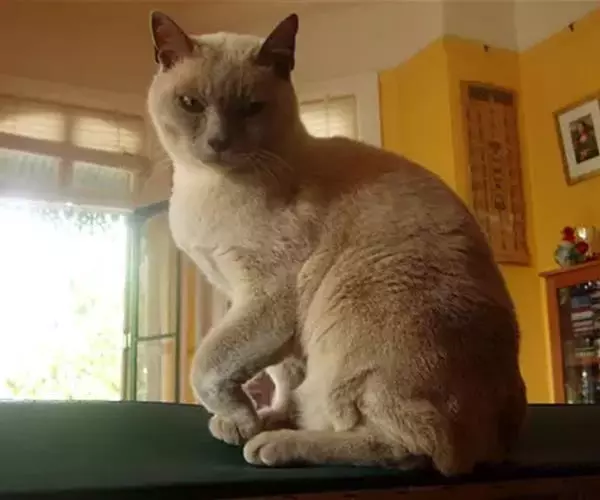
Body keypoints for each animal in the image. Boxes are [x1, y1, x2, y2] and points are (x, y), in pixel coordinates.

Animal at [147, 11, 527, 476]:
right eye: (190, 104)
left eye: (252, 108)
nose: (219, 142)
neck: (203, 189)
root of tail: (499, 445)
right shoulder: (249, 303)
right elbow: (283, 377)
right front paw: (260, 417)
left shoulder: (266, 298)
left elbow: (208, 363)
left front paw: (244, 421)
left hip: (351, 310)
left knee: (416, 446)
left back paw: (277, 444)